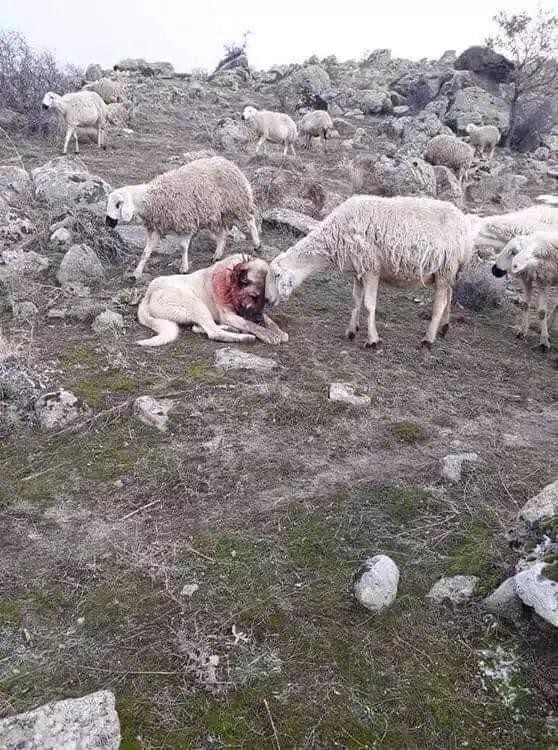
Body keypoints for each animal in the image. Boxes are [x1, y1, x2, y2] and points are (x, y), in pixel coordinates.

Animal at [105, 157, 262, 280]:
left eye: (118, 205)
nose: (108, 222)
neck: (153, 199)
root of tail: (229, 162)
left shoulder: (186, 222)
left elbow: (183, 247)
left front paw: (184, 267)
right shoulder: (156, 227)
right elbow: (146, 252)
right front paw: (137, 272)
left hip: (238, 202)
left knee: (250, 220)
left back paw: (256, 243)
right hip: (216, 214)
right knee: (222, 233)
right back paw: (217, 254)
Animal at [138, 253, 290, 346]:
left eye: (266, 300)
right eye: (253, 297)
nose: (258, 319)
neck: (230, 283)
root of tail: (148, 294)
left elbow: (269, 320)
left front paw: (277, 330)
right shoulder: (229, 315)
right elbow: (249, 324)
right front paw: (267, 333)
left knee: (199, 327)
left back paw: (231, 329)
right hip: (195, 304)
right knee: (213, 332)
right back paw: (244, 337)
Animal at [270, 192, 480, 348]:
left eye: (276, 275)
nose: (269, 300)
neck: (334, 234)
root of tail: (465, 226)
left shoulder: (371, 268)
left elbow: (369, 305)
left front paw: (372, 340)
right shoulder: (358, 271)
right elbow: (356, 301)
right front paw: (351, 331)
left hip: (445, 268)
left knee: (440, 304)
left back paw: (428, 339)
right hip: (449, 271)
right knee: (449, 297)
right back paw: (444, 328)